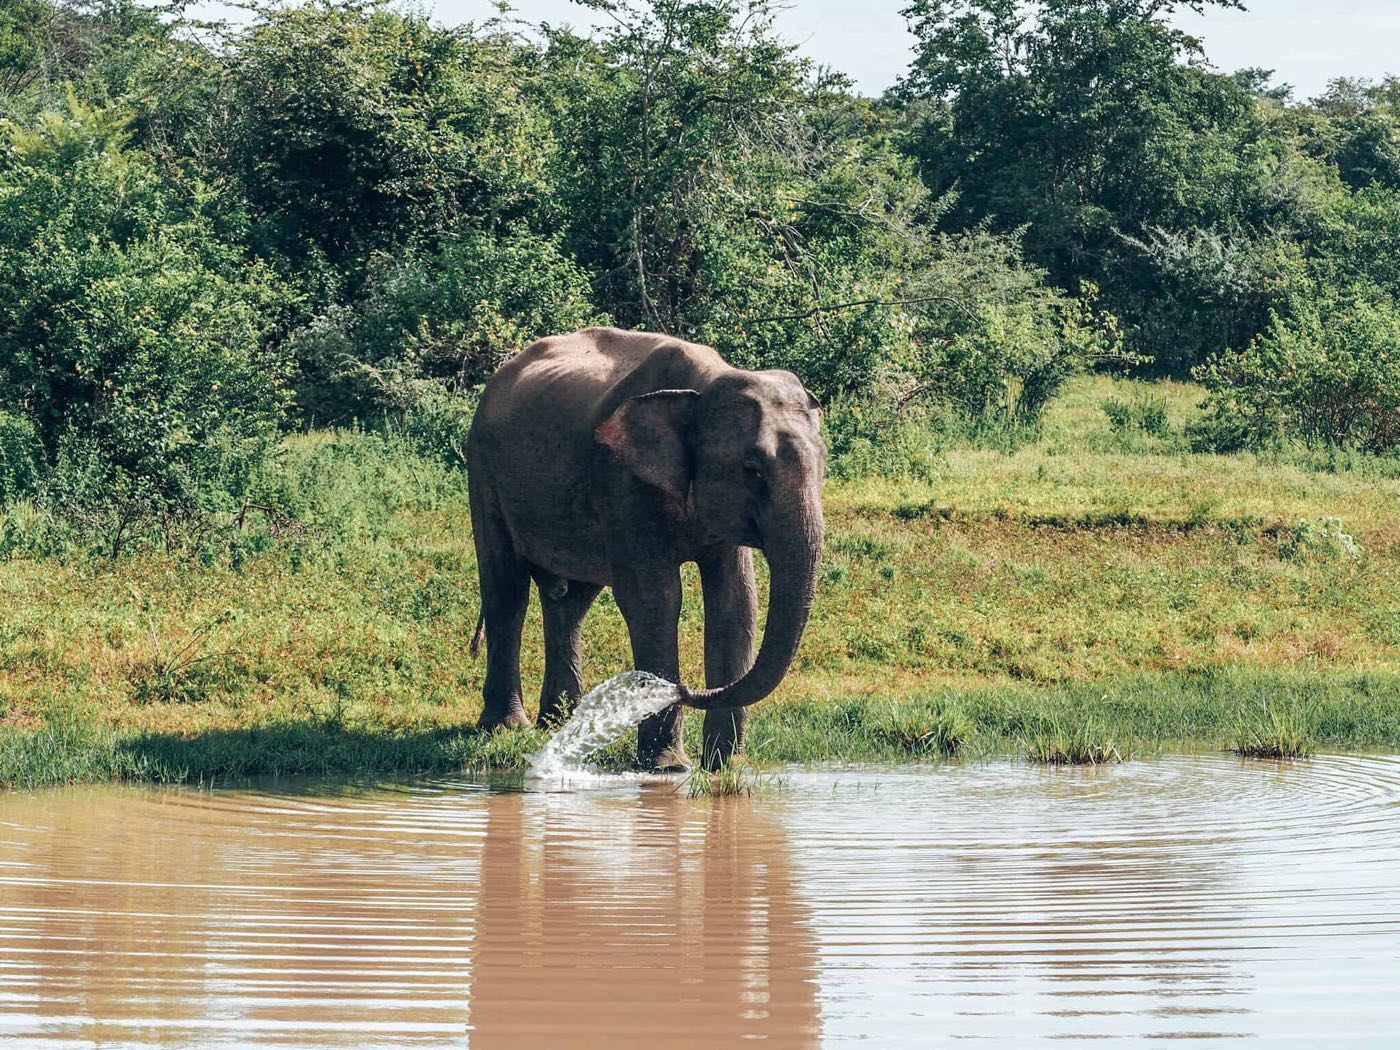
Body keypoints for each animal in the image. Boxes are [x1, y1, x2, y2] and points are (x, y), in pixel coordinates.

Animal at [466, 326, 826, 770]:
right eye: (753, 470)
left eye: (824, 464)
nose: (684, 690)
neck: (705, 384)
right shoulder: (622, 478)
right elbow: (655, 598)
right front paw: (669, 767)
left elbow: (735, 601)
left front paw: (726, 766)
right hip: (483, 469)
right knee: (506, 588)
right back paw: (506, 727)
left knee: (570, 602)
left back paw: (558, 722)